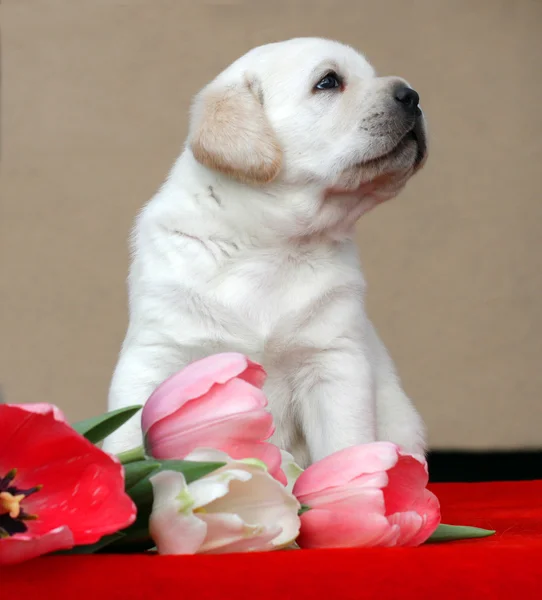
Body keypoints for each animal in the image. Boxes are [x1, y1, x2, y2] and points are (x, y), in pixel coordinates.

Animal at [105, 38, 430, 468]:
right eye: (328, 82)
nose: (413, 96)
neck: (271, 245)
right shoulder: (155, 353)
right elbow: (126, 434)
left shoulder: (334, 363)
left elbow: (344, 443)